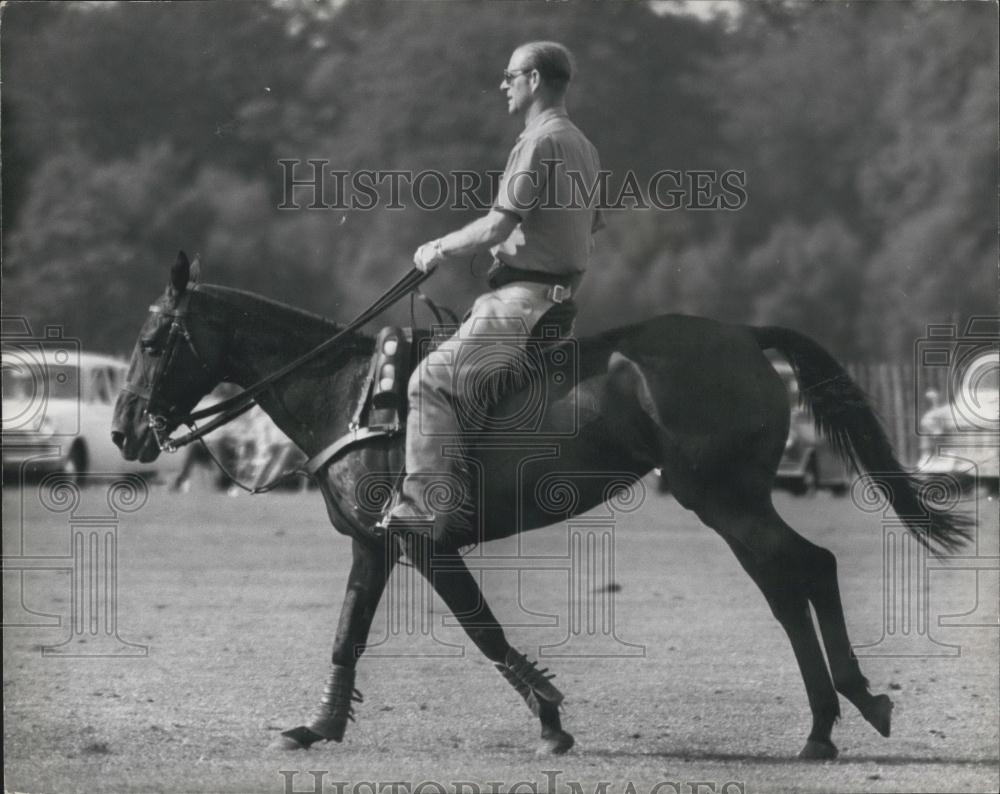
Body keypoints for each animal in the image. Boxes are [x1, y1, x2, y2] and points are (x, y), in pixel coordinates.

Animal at [111, 251, 968, 756]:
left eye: (153, 341)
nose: (123, 431)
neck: (348, 393)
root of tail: (747, 334)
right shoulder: (373, 543)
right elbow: (347, 633)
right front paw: (318, 726)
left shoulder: (425, 542)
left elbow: (483, 628)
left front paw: (552, 719)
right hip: (733, 498)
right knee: (796, 577)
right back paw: (832, 719)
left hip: (721, 497)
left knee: (801, 571)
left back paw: (841, 713)